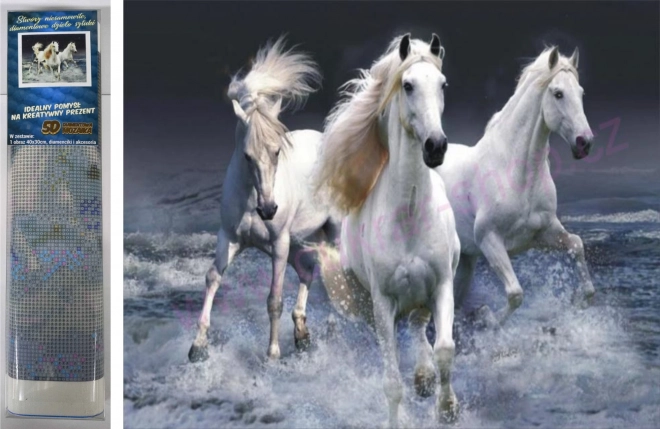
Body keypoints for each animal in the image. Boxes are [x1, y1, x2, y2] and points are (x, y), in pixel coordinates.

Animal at [188, 37, 342, 363]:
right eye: (247, 155)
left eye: (277, 151)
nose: (269, 209)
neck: (251, 200)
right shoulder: (229, 238)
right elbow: (212, 278)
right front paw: (197, 346)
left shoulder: (279, 244)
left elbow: (274, 299)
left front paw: (272, 354)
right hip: (299, 240)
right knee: (308, 271)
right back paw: (302, 334)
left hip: (328, 233)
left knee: (333, 275)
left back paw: (331, 329)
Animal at [316, 34, 461, 426]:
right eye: (407, 85)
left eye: (443, 84)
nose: (436, 146)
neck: (409, 217)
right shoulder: (383, 303)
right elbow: (392, 384)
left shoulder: (442, 285)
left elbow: (444, 349)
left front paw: (447, 408)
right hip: (370, 305)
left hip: (423, 295)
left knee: (419, 326)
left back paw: (425, 379)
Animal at [435, 47, 595, 328]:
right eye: (558, 93)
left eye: (581, 92)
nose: (584, 142)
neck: (517, 175)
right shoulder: (489, 240)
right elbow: (515, 293)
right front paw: (487, 317)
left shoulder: (542, 234)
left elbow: (576, 245)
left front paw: (580, 299)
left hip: (466, 260)